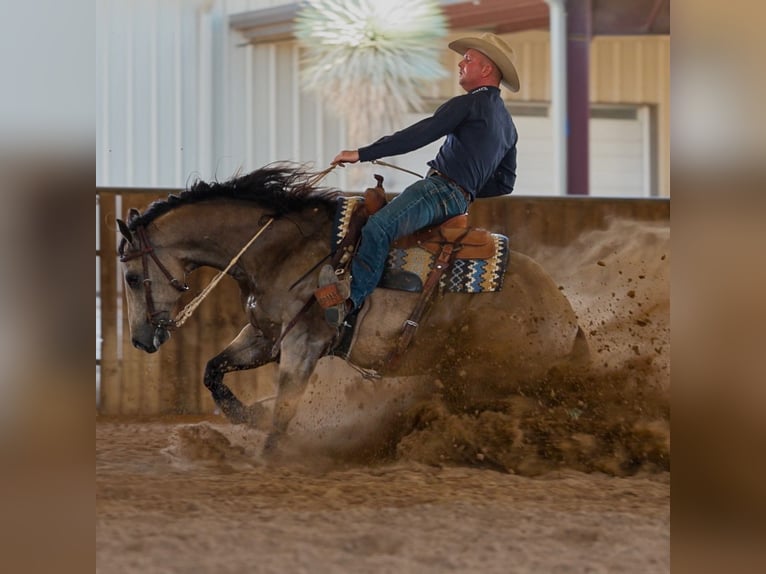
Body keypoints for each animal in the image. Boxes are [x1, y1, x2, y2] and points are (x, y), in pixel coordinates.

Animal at [117, 164, 588, 452]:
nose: (140, 340)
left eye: (131, 277)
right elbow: (213, 371)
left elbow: (286, 409)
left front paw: (268, 454)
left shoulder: (303, 343)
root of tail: (564, 314)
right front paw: (251, 414)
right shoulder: (265, 336)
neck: (281, 251)